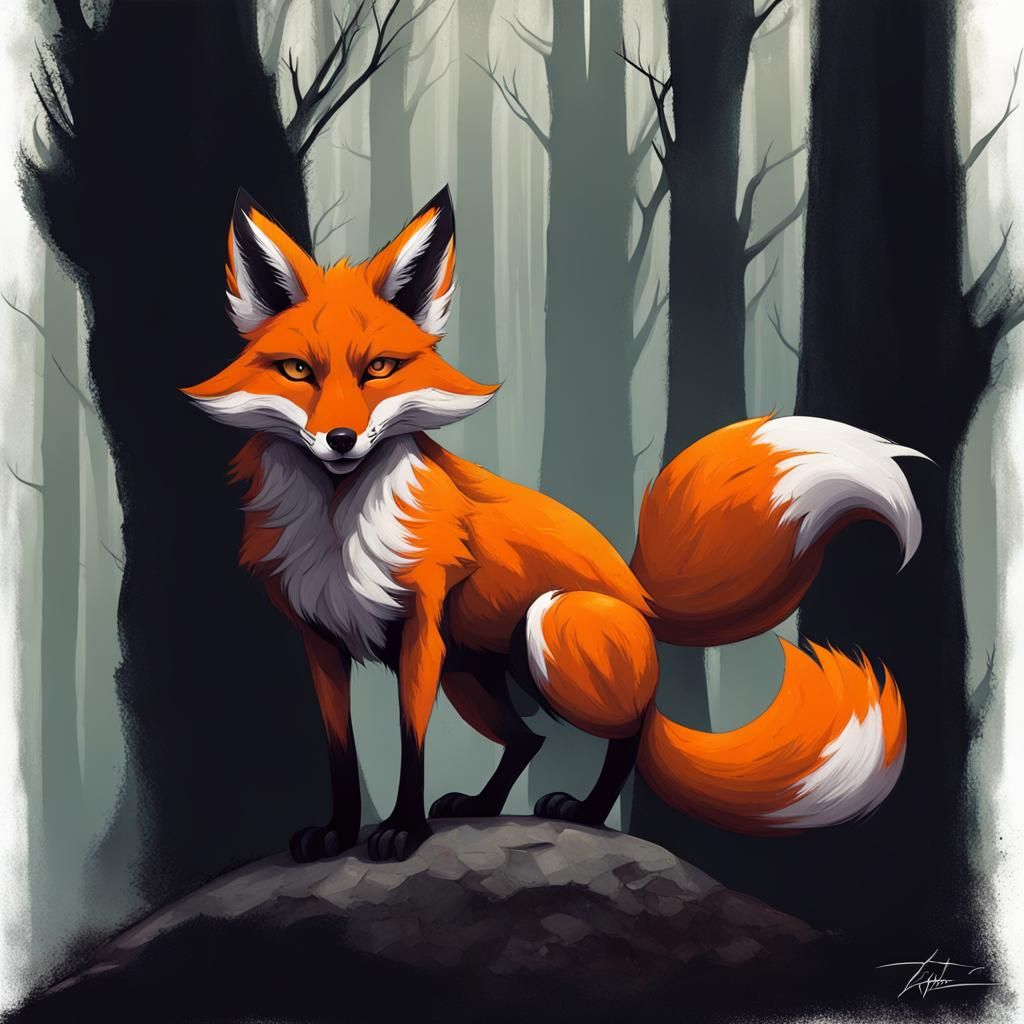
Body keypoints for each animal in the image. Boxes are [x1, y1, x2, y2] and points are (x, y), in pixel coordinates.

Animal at [184, 185, 920, 864]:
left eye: (380, 369)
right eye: (297, 371)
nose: (339, 440)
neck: (339, 530)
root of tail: (639, 595)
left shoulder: (420, 633)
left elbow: (410, 744)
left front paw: (402, 830)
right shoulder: (319, 640)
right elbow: (340, 752)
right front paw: (339, 832)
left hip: (550, 629)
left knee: (633, 731)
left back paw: (589, 812)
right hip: (471, 675)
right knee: (530, 737)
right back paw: (482, 804)